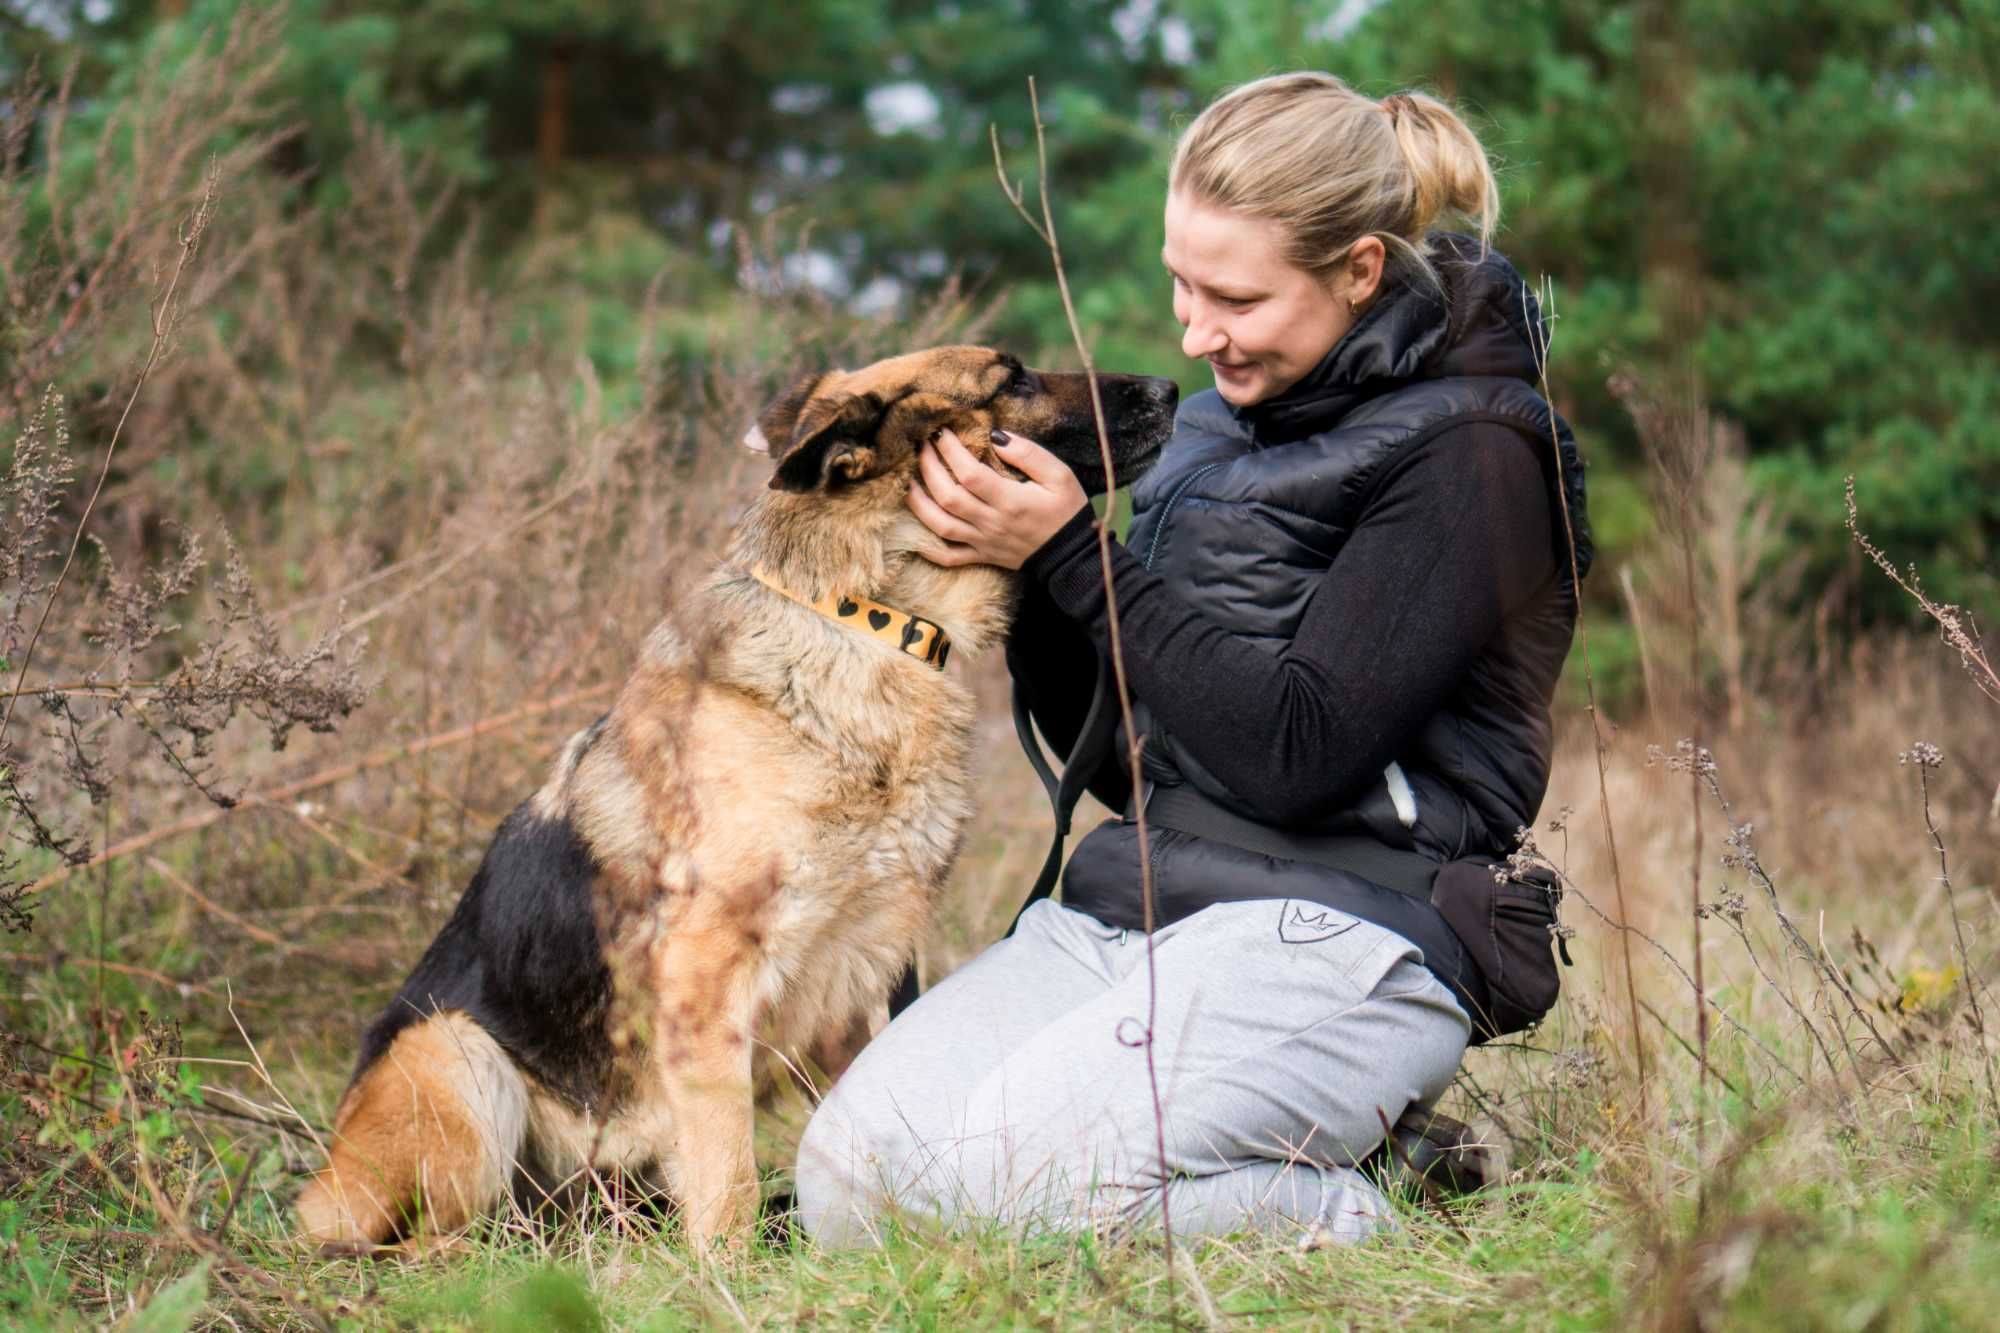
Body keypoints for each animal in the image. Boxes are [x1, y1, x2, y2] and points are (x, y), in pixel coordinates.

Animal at [294, 342, 1168, 1248]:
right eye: (1012, 379)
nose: (1170, 386)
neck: (861, 619)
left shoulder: (866, 967)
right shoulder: (708, 976)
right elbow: (729, 1170)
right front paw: (732, 1264)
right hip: (455, 1054)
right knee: (423, 1232)